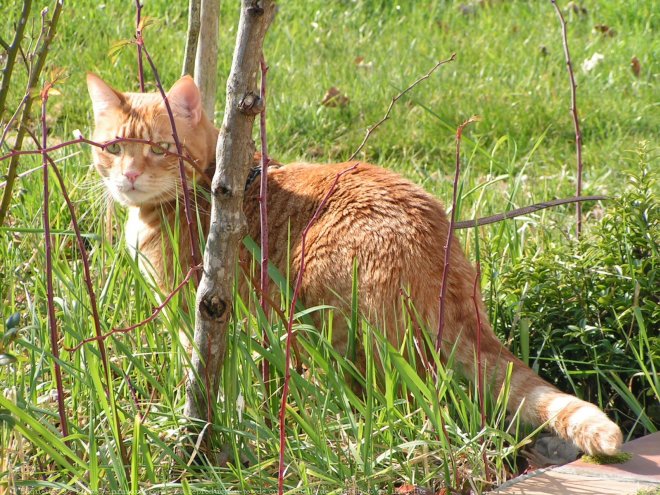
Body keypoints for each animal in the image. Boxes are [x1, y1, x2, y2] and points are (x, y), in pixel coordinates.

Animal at [87, 73, 624, 458]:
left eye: (160, 148)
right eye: (113, 148)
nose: (129, 175)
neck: (210, 185)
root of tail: (443, 257)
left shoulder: (200, 313)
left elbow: (195, 375)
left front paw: (190, 423)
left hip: (329, 317)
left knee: (395, 398)